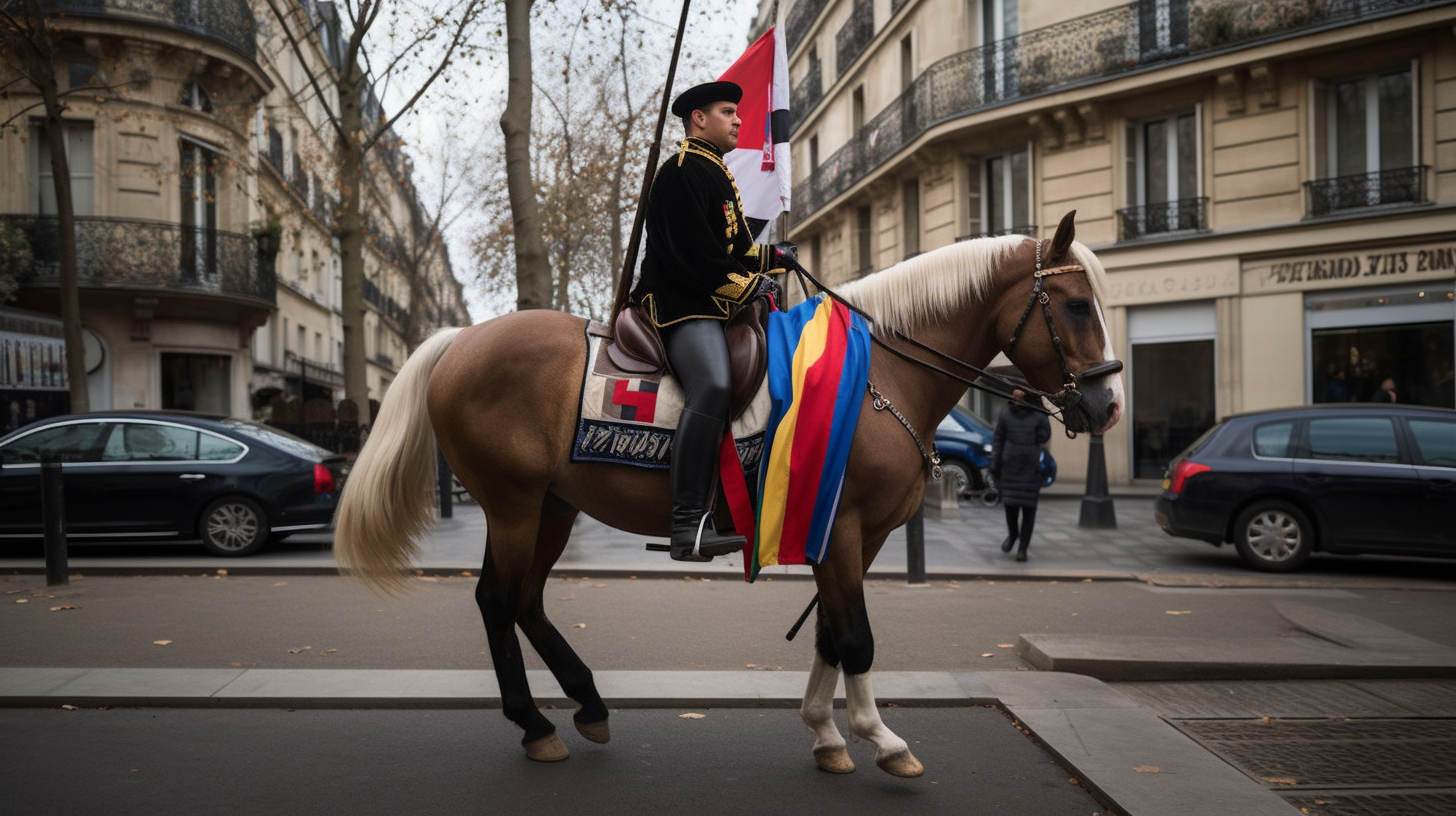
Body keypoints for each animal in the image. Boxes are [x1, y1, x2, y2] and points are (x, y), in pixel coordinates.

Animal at [334, 209, 1118, 775]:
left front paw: (826, 734)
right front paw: (880, 738)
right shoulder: (843, 530)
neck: (880, 377)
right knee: (498, 600)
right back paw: (534, 724)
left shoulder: (851, 536)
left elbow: (831, 634)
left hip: (552, 506)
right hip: (512, 503)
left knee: (526, 600)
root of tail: (461, 340)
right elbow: (857, 639)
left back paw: (586, 705)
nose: (1106, 406)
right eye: (1077, 305)